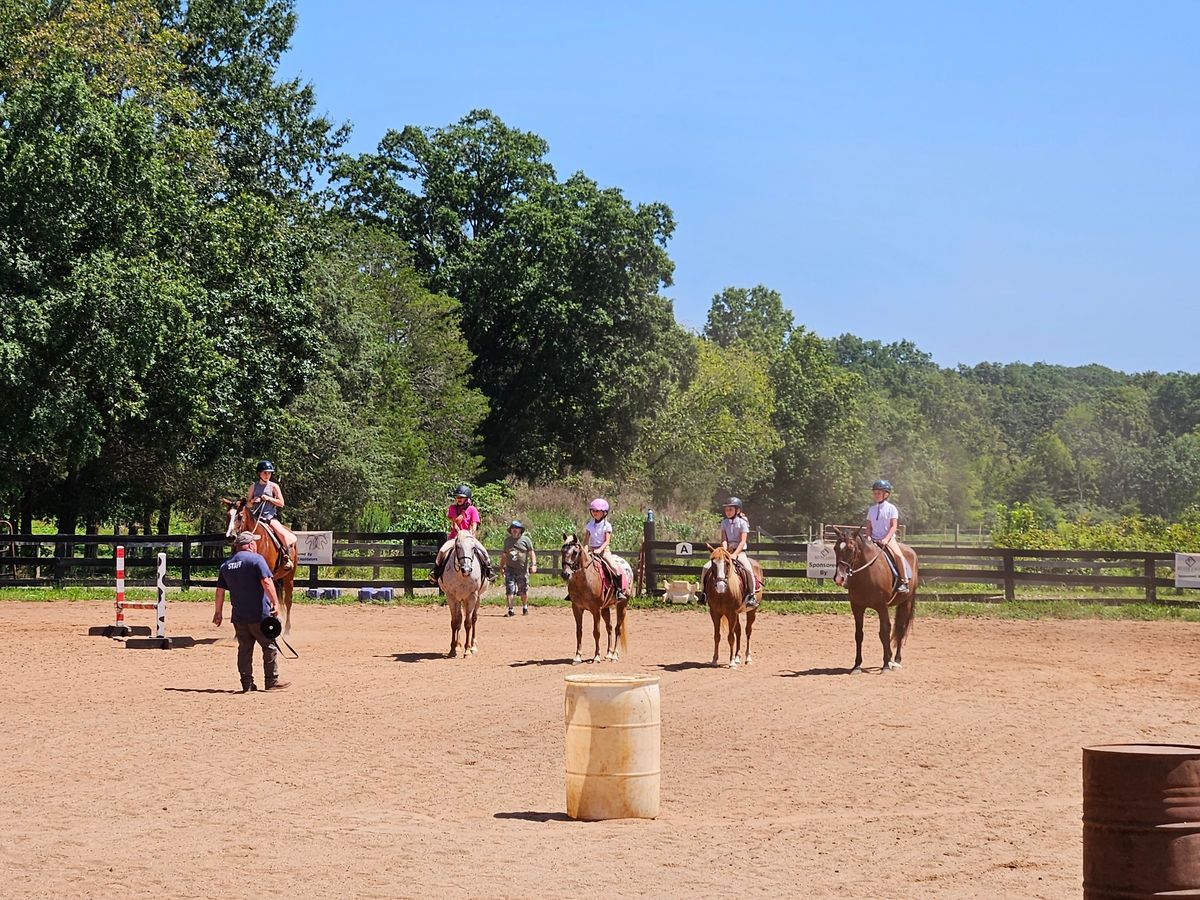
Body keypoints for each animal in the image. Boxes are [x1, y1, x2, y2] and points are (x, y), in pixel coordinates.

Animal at [225, 496, 298, 638]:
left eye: (240, 516)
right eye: (227, 515)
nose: (230, 537)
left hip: (289, 578)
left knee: (288, 601)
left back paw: (287, 630)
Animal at [559, 532, 628, 667]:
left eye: (575, 552)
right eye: (562, 551)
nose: (565, 574)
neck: (584, 580)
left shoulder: (596, 610)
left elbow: (596, 632)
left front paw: (596, 657)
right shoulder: (577, 609)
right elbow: (579, 632)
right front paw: (577, 657)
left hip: (622, 605)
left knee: (617, 628)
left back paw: (614, 655)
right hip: (605, 608)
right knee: (609, 627)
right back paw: (608, 654)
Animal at [835, 520, 916, 676]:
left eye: (850, 549)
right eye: (835, 548)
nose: (839, 578)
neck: (867, 573)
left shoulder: (881, 606)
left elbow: (884, 632)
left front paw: (885, 665)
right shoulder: (857, 607)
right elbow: (859, 634)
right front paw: (857, 666)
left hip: (907, 601)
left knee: (900, 629)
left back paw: (896, 660)